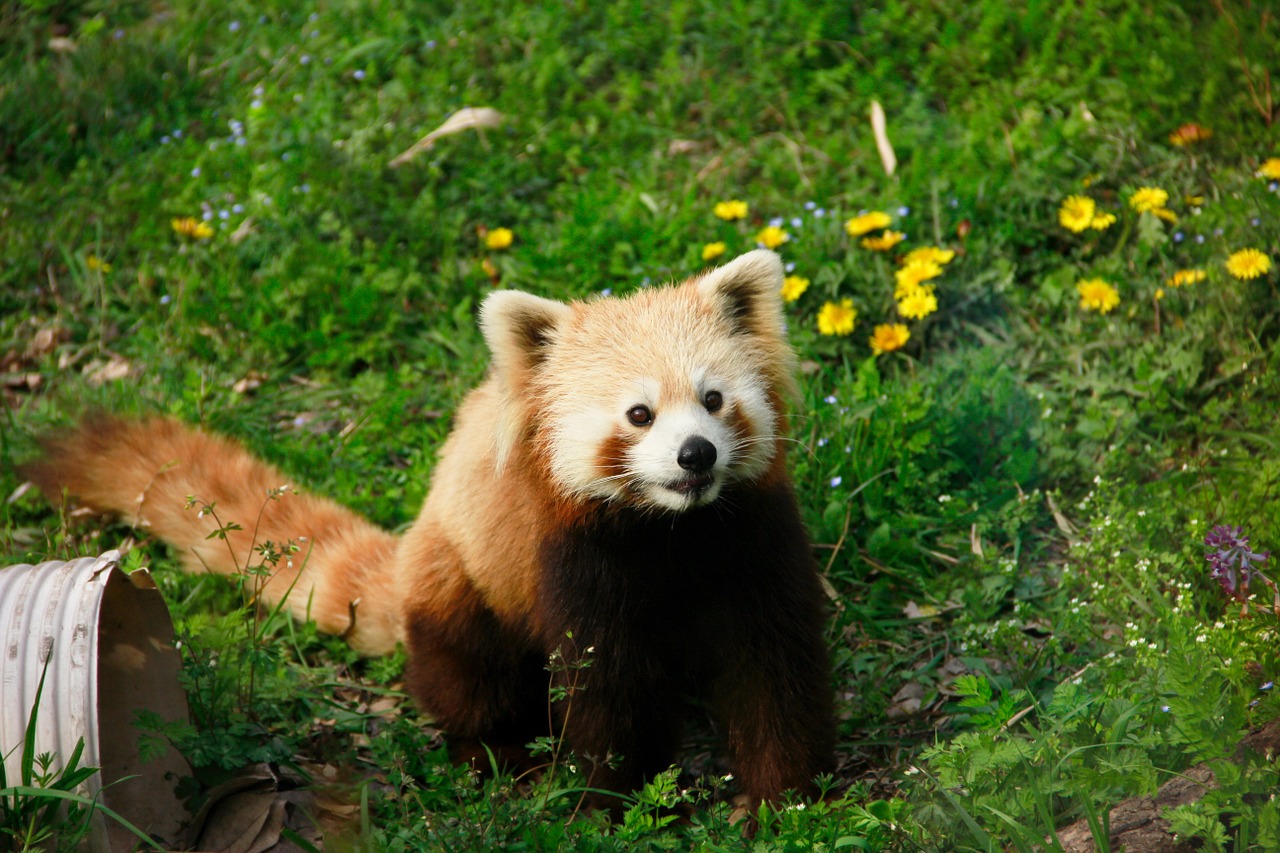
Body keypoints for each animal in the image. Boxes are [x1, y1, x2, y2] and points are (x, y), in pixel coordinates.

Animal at [24, 249, 839, 809]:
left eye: (714, 398)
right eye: (639, 414)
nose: (695, 454)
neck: (672, 532)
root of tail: (413, 540)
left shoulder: (752, 540)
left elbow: (775, 671)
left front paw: (785, 798)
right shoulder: (580, 565)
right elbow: (606, 689)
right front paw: (610, 801)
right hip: (460, 585)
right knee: (468, 682)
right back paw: (501, 757)